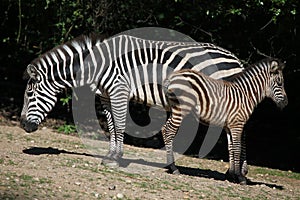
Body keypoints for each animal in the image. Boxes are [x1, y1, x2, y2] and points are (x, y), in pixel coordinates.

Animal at [19, 33, 244, 166]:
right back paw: (235, 172)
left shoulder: (119, 91)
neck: (97, 65)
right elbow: (111, 127)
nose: (22, 125)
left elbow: (119, 125)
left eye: (29, 94)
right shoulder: (106, 97)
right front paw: (110, 155)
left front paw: (116, 158)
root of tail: (235, 58)